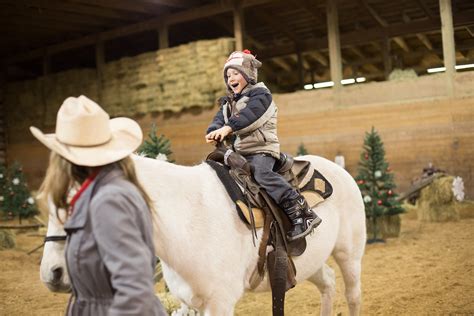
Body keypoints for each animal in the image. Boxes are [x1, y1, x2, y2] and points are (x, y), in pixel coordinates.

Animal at [40, 156, 366, 316]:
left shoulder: (219, 303)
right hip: (307, 263)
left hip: (349, 255)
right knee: (328, 283)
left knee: (352, 294)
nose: (51, 273)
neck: (188, 217)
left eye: (77, 203)